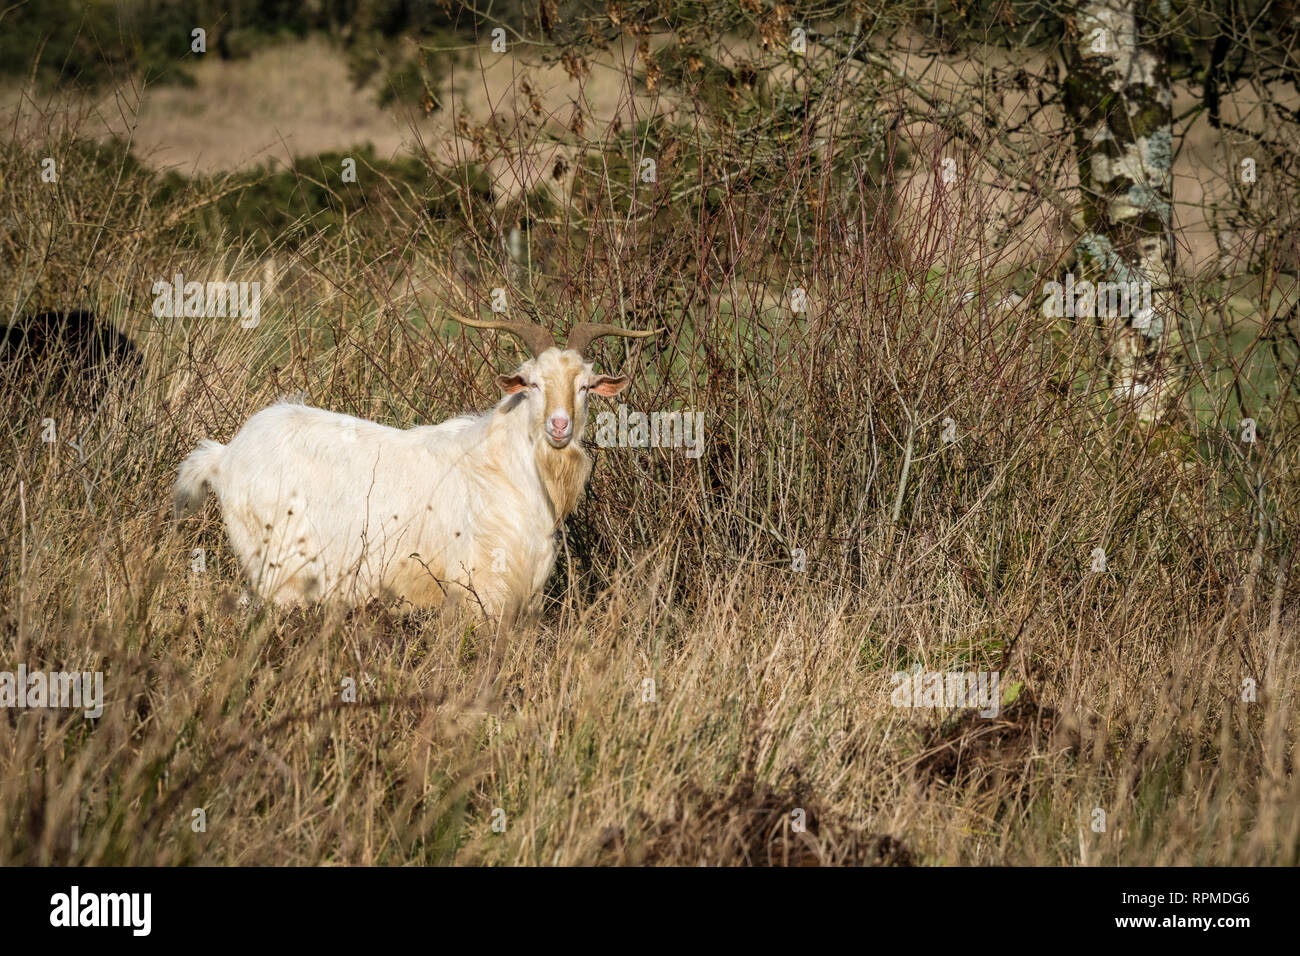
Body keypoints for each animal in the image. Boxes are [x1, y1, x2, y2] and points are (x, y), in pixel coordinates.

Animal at [173, 316, 655, 619]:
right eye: (532, 383)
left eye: (585, 387)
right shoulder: (483, 590)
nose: (559, 425)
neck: (506, 468)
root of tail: (224, 456)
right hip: (278, 571)